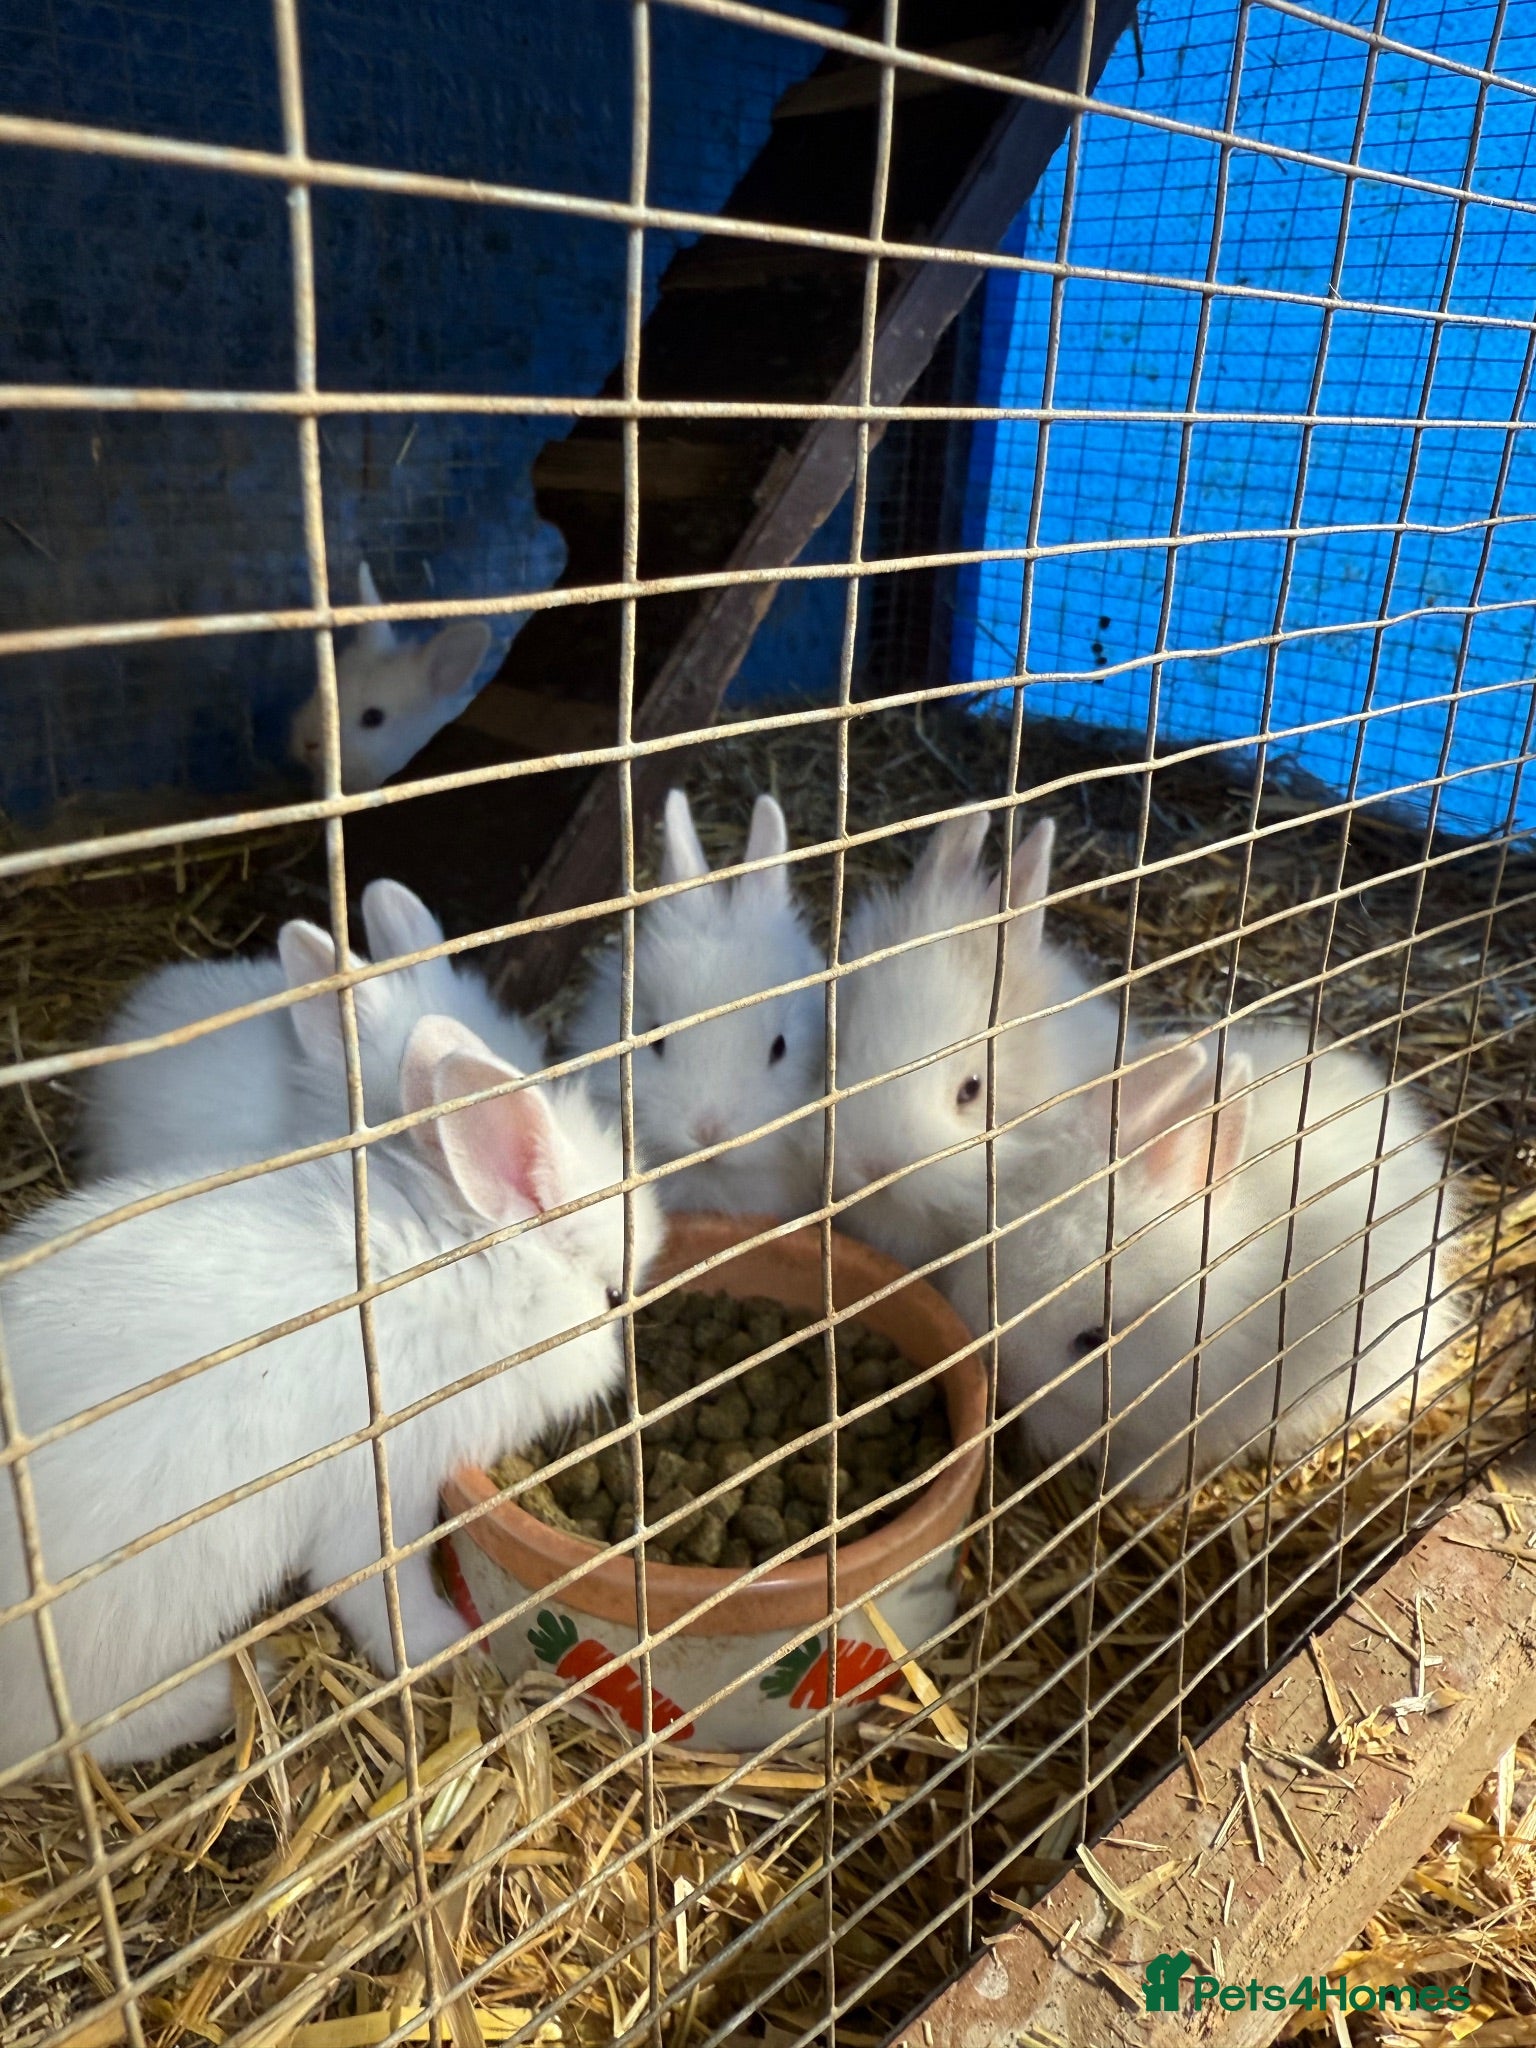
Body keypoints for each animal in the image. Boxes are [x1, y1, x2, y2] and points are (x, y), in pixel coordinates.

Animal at [0, 1013, 664, 1771]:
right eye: (611, 1295)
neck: (473, 1290)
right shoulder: (384, 1495)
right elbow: (382, 1594)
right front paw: (447, 1645)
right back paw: (235, 1687)